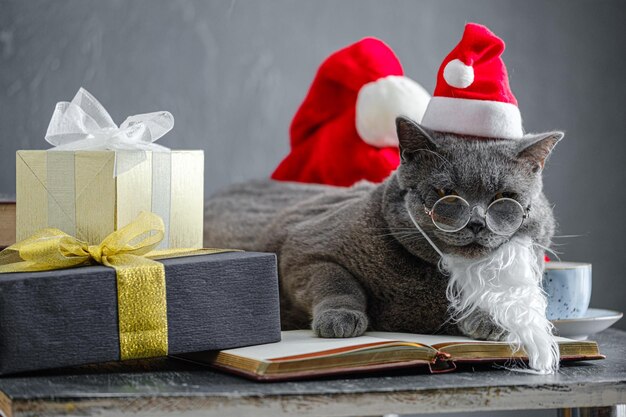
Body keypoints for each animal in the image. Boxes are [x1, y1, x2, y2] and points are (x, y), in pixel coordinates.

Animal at [202, 117, 560, 342]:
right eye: (446, 193)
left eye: (503, 198)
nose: (476, 222)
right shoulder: (303, 250)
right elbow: (338, 281)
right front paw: (340, 318)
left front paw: (490, 318)